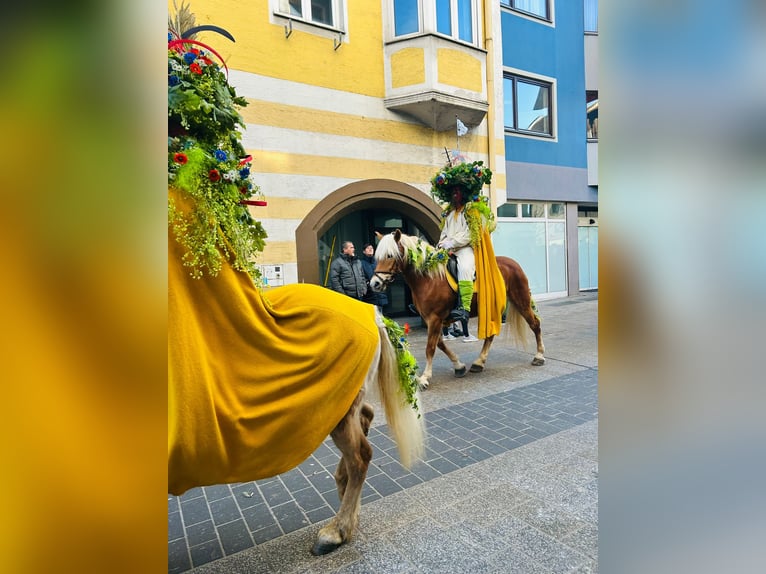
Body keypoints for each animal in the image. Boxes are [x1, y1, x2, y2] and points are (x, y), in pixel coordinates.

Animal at [169, 189, 428, 560]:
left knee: (360, 455)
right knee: (364, 422)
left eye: (389, 256)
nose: (376, 282)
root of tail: (372, 313)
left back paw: (336, 530)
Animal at [372, 232, 544, 390]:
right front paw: (459, 365)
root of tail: (514, 263)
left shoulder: (435, 319)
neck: (429, 279)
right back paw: (479, 362)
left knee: (535, 324)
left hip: (521, 301)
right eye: (377, 256)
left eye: (389, 255)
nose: (375, 283)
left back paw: (539, 356)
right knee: (491, 335)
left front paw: (424, 378)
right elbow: (440, 344)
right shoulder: (432, 320)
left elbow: (430, 348)